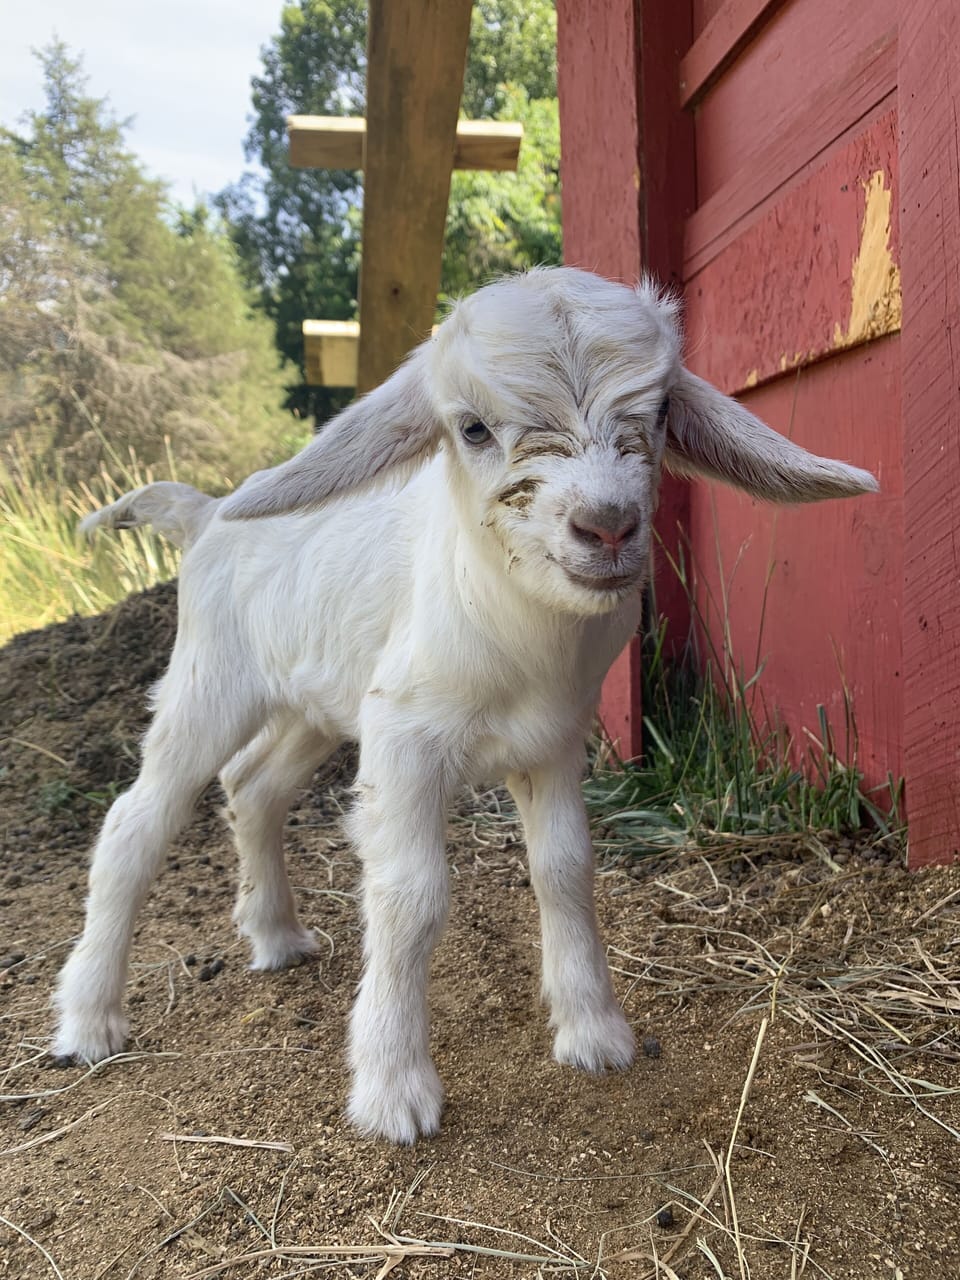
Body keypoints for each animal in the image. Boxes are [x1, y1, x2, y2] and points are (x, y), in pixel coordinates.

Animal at [53, 268, 877, 1143]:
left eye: (658, 414)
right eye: (473, 428)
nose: (607, 526)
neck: (522, 633)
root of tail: (208, 512)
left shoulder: (554, 741)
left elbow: (565, 870)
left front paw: (594, 1031)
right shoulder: (404, 738)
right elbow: (411, 896)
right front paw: (393, 1088)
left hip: (318, 702)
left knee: (253, 786)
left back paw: (275, 936)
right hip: (213, 680)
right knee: (135, 823)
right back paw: (89, 1020)